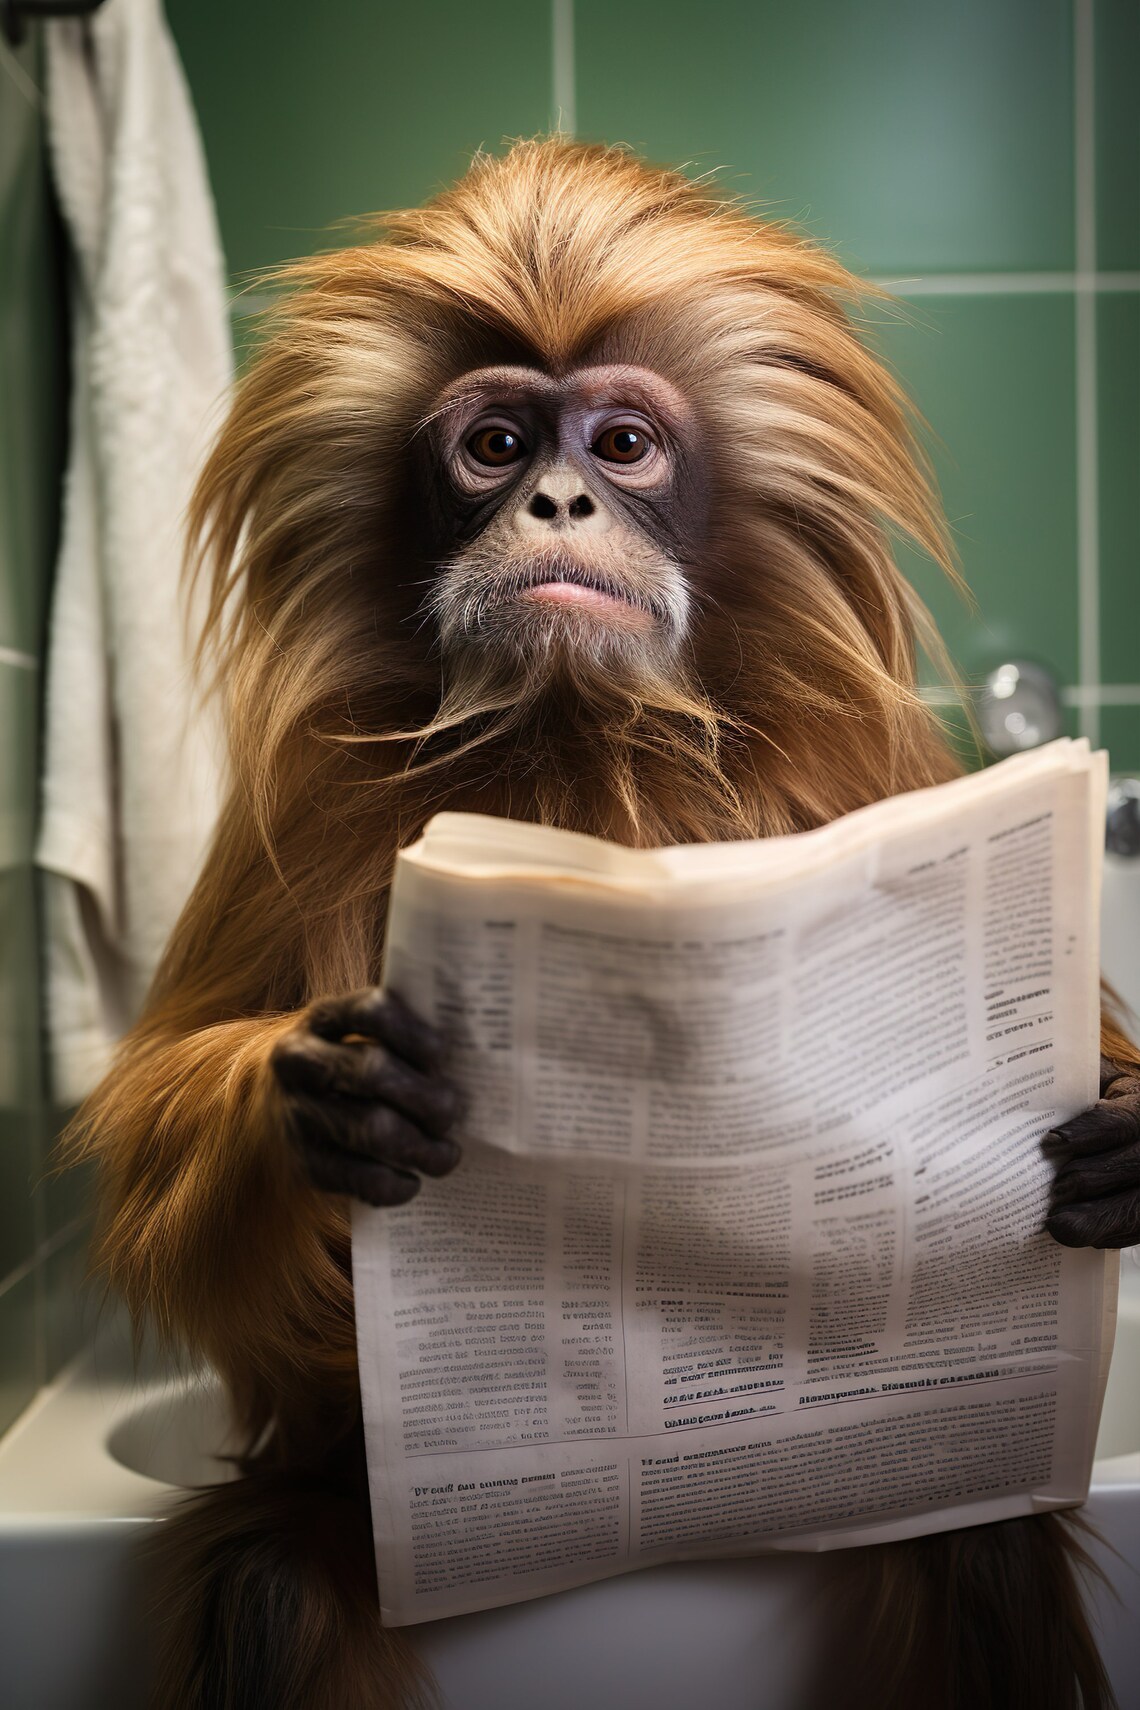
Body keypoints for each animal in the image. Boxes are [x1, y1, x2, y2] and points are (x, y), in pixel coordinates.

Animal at [68, 139, 1140, 1710]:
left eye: (621, 445)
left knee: (975, 1534)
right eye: (498, 447)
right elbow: (163, 1129)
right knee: (270, 1590)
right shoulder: (302, 798)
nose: (561, 506)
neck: (579, 744)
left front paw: (1125, 1141)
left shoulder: (865, 771)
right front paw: (324, 1103)